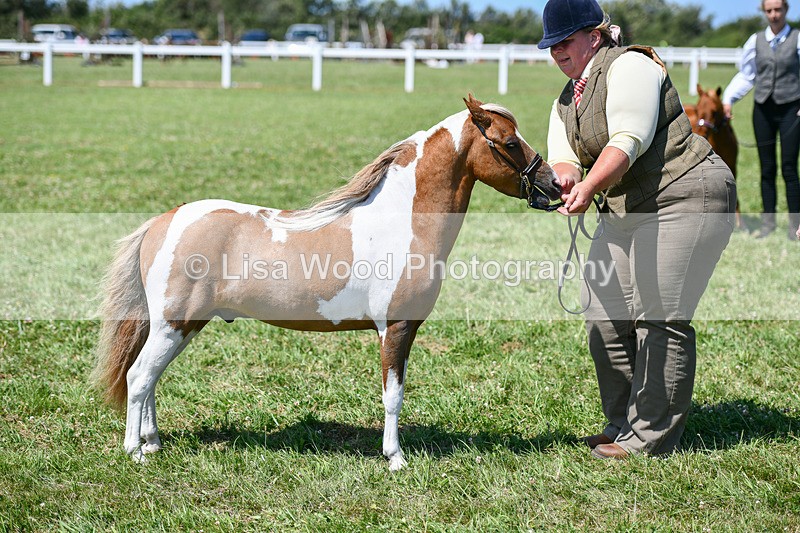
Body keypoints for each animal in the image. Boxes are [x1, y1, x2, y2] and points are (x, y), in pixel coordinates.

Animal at [92, 94, 562, 471]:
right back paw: (134, 450)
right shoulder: (396, 328)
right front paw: (395, 458)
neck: (402, 221)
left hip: (183, 326)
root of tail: (163, 221)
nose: (555, 183)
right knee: (139, 377)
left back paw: (153, 443)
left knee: (151, 379)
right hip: (173, 325)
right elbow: (393, 396)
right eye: (510, 142)